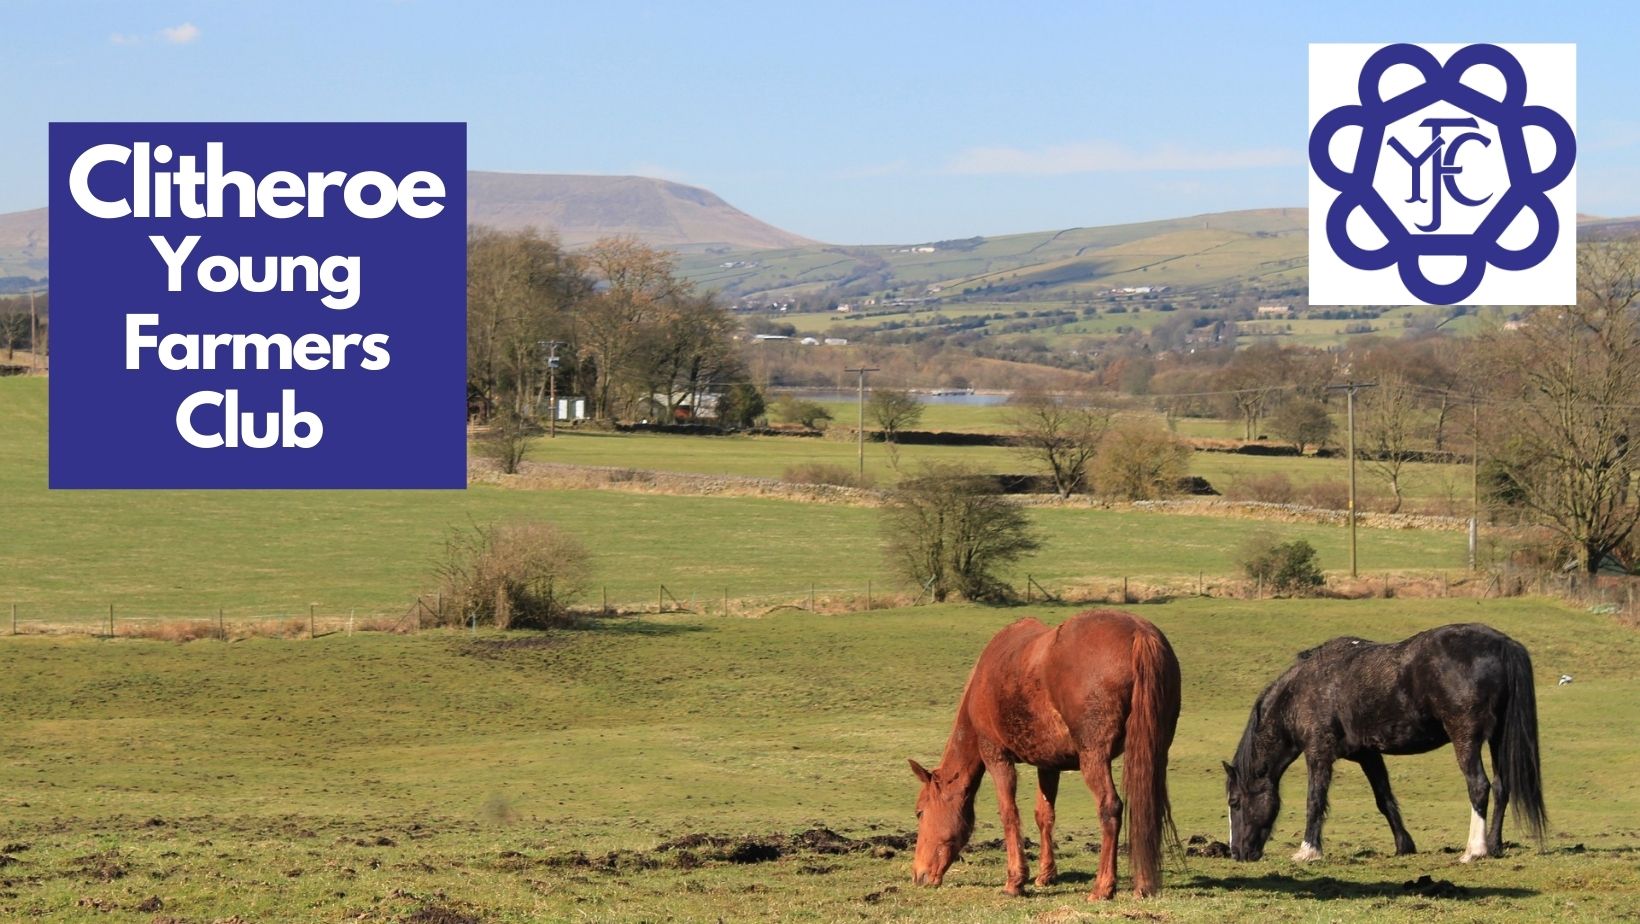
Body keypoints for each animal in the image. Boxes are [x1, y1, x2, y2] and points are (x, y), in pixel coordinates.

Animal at [911, 610, 1180, 899]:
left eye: (920, 812)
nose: (918, 875)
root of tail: (1139, 632)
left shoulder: (997, 756)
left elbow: (1009, 813)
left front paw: (1015, 881)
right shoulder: (1049, 764)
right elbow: (1044, 815)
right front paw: (1045, 875)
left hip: (1094, 758)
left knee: (1110, 807)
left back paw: (1102, 887)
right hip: (1155, 751)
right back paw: (1144, 884)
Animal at [1226, 626, 1541, 866]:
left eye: (1235, 802)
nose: (1237, 853)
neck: (1302, 691)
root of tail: (1502, 644)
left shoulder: (1318, 753)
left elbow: (1314, 800)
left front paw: (1308, 851)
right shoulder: (1368, 755)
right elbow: (1384, 798)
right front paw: (1404, 845)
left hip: (1466, 738)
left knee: (1479, 786)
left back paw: (1475, 850)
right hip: (1497, 737)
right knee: (1501, 786)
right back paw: (1495, 845)